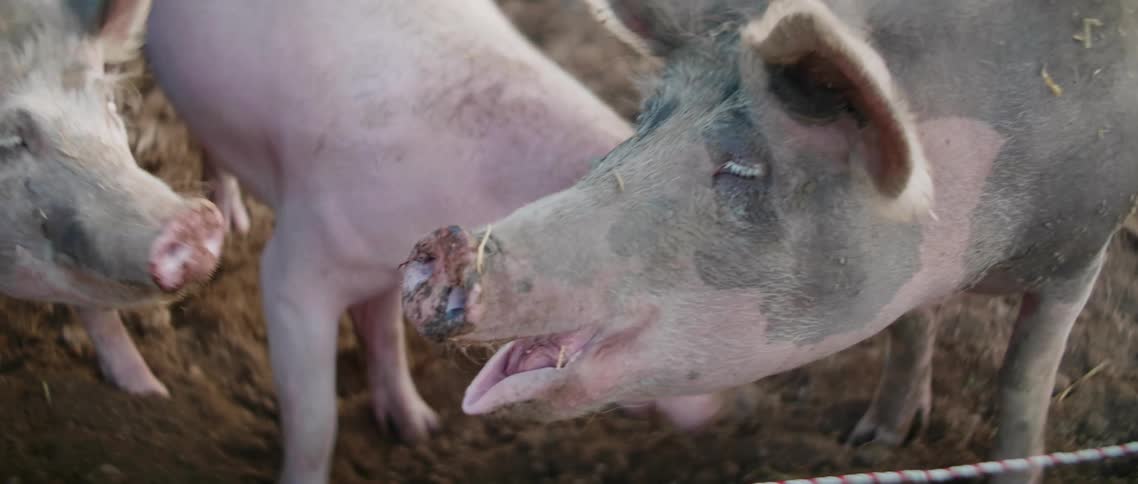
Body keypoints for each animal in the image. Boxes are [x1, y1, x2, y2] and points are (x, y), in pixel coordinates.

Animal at [141, 0, 717, 482]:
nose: (716, 413)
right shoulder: (295, 265)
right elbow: (316, 416)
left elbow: (385, 337)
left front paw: (419, 430)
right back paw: (231, 224)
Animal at [400, 1, 1138, 483]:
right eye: (644, 120)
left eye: (743, 170)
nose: (440, 246)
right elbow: (909, 330)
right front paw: (872, 443)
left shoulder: (1081, 251)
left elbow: (1024, 379)